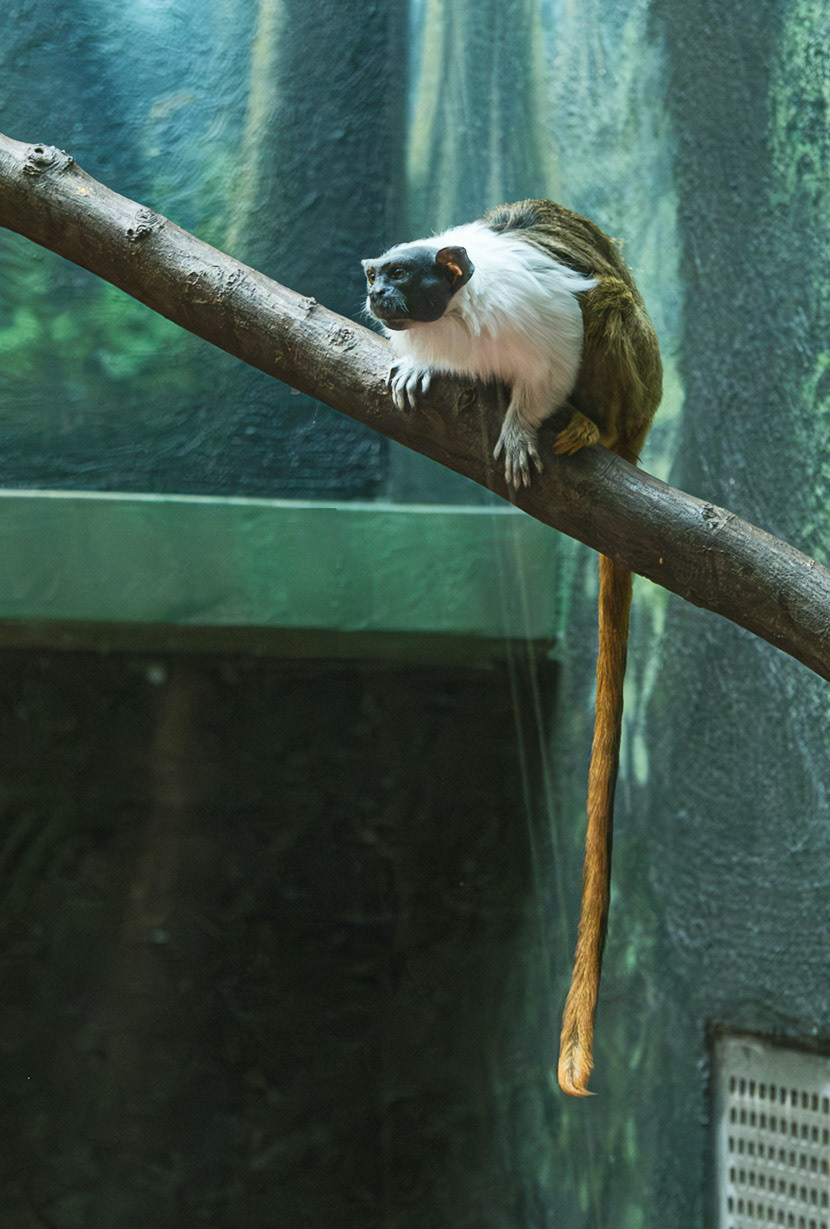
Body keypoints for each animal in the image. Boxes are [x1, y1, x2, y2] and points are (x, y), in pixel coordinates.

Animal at [362, 199, 662, 1096]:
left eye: (406, 277)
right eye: (377, 278)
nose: (380, 296)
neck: (452, 318)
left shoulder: (525, 306)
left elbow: (563, 337)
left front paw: (527, 424)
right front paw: (420, 374)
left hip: (640, 384)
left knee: (608, 309)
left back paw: (595, 425)